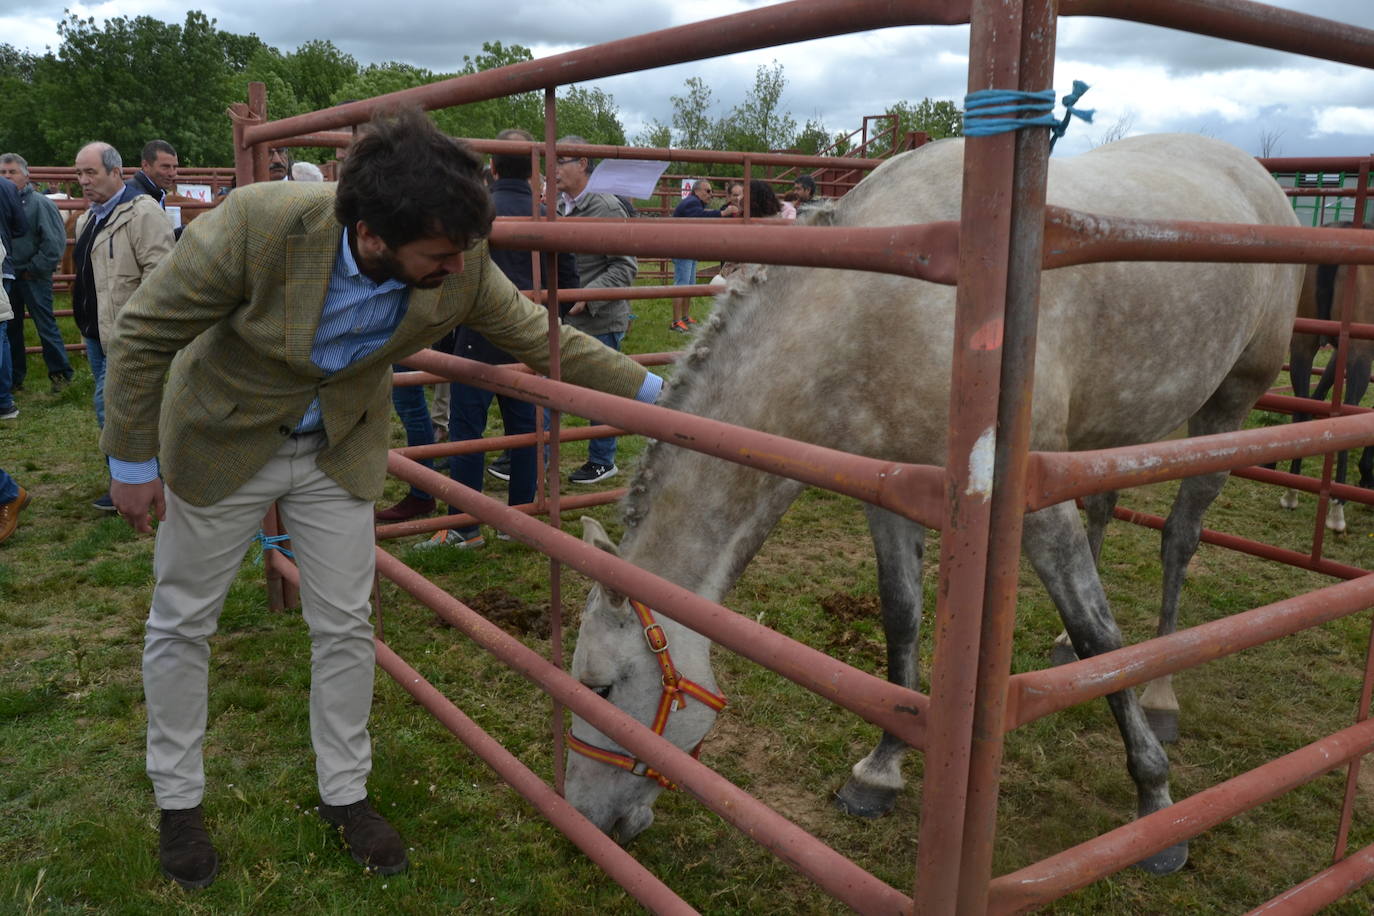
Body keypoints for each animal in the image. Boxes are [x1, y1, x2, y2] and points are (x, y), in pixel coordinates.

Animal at [563, 134, 1302, 873]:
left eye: (602, 687)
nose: (584, 824)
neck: (883, 310)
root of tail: (1255, 175)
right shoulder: (890, 493)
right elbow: (903, 616)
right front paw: (880, 769)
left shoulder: (1033, 506)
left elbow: (1103, 630)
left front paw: (1154, 803)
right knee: (1105, 510)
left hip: (1227, 407)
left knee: (1179, 539)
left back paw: (1162, 694)